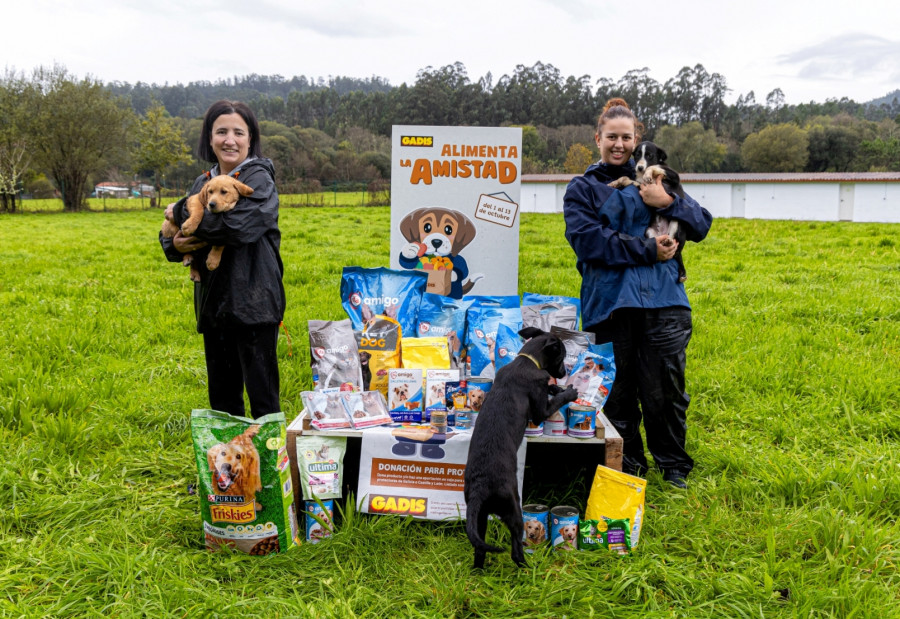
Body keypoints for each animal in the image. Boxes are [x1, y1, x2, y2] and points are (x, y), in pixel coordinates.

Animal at [464, 326, 576, 568]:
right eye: (562, 356)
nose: (564, 373)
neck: (526, 361)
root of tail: (480, 486)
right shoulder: (540, 411)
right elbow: (555, 402)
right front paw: (568, 392)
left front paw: (556, 387)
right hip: (514, 510)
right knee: (516, 547)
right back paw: (527, 567)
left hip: (479, 516)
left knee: (479, 547)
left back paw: (478, 570)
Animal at [632, 142, 688, 284]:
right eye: (637, 155)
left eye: (649, 155)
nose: (640, 168)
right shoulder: (640, 185)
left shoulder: (674, 175)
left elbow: (656, 166)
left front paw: (648, 173)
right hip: (649, 232)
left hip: (676, 224)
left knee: (675, 248)